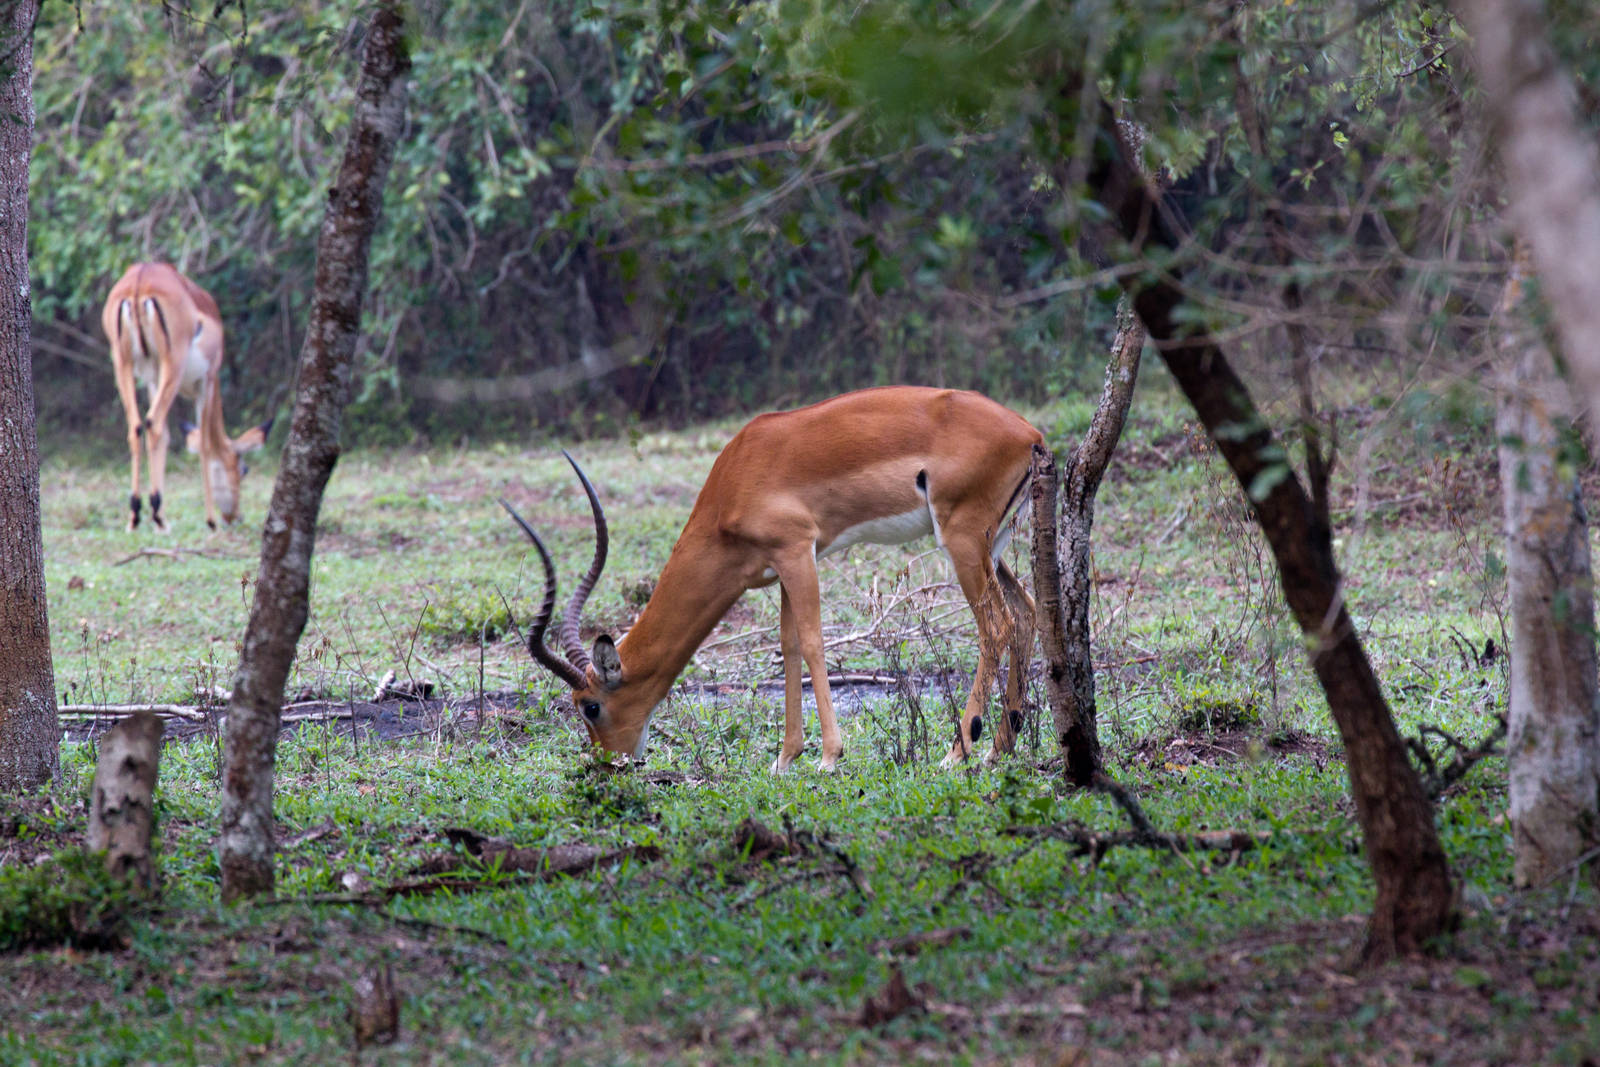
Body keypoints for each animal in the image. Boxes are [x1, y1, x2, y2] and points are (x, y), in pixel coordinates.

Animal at [102, 263, 272, 531]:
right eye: (244, 469)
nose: (235, 517)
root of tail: (140, 280)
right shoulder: (208, 381)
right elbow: (205, 443)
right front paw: (211, 521)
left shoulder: (152, 379)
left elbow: (165, 437)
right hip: (173, 363)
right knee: (154, 423)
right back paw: (156, 515)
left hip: (123, 363)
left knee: (138, 426)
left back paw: (137, 516)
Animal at [502, 386, 1043, 772]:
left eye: (589, 706)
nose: (607, 762)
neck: (736, 479)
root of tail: (1029, 434)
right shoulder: (780, 568)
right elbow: (789, 646)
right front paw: (785, 759)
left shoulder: (798, 551)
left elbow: (813, 640)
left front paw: (829, 757)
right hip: (991, 547)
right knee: (1027, 612)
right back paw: (999, 748)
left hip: (962, 541)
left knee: (996, 626)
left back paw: (958, 751)